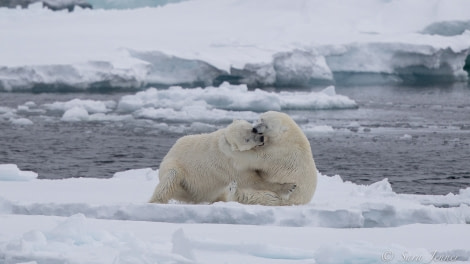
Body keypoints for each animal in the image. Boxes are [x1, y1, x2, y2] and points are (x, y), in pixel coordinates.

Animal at [148, 119, 294, 204]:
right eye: (246, 139)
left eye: (252, 130)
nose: (261, 138)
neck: (226, 141)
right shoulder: (229, 164)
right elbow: (253, 181)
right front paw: (288, 186)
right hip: (178, 172)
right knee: (170, 179)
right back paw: (155, 201)